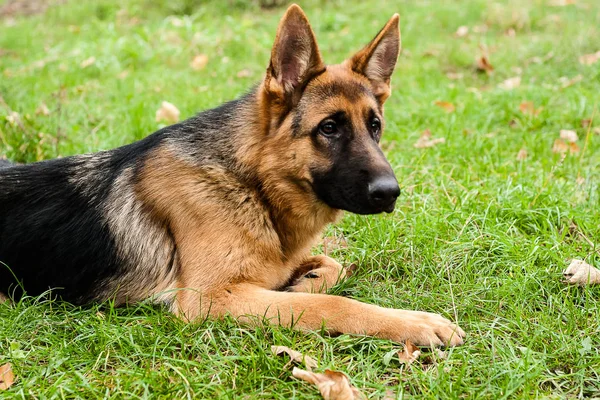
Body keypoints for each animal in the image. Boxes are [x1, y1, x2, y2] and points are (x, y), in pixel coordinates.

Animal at [0, 4, 464, 346]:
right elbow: (332, 305)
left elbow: (331, 265)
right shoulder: (210, 299)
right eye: (329, 127)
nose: (390, 193)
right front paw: (413, 322)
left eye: (375, 126)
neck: (251, 183)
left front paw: (304, 282)